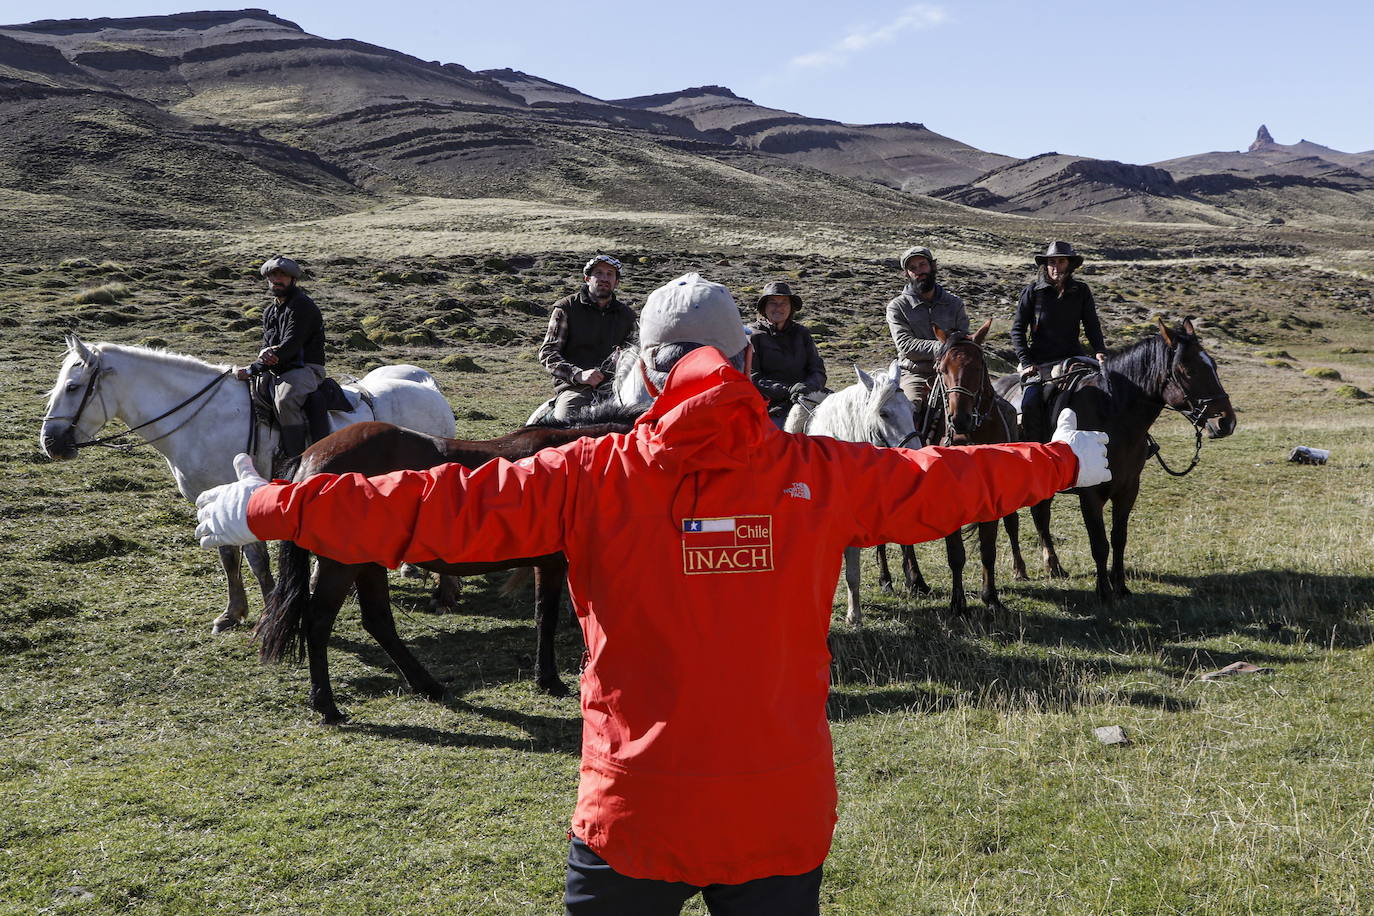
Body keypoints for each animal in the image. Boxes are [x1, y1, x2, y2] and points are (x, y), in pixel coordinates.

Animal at [36, 333, 456, 634]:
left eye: (73, 387)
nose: (50, 443)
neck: (202, 418)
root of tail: (428, 389)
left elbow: (256, 558)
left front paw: (271, 611)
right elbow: (229, 557)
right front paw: (233, 612)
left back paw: (445, 591)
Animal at [256, 411, 637, 725]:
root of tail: (309, 459)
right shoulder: (554, 561)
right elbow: (548, 617)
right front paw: (550, 679)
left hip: (368, 564)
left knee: (378, 621)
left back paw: (428, 685)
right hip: (343, 565)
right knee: (319, 623)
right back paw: (327, 705)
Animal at [994, 317, 1242, 601]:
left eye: (1212, 365)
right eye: (1187, 370)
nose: (1226, 422)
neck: (1112, 416)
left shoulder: (1128, 488)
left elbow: (1119, 538)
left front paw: (1120, 586)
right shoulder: (1091, 494)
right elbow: (1099, 543)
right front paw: (1103, 591)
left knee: (1041, 515)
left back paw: (1054, 566)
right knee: (1013, 522)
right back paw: (1020, 569)